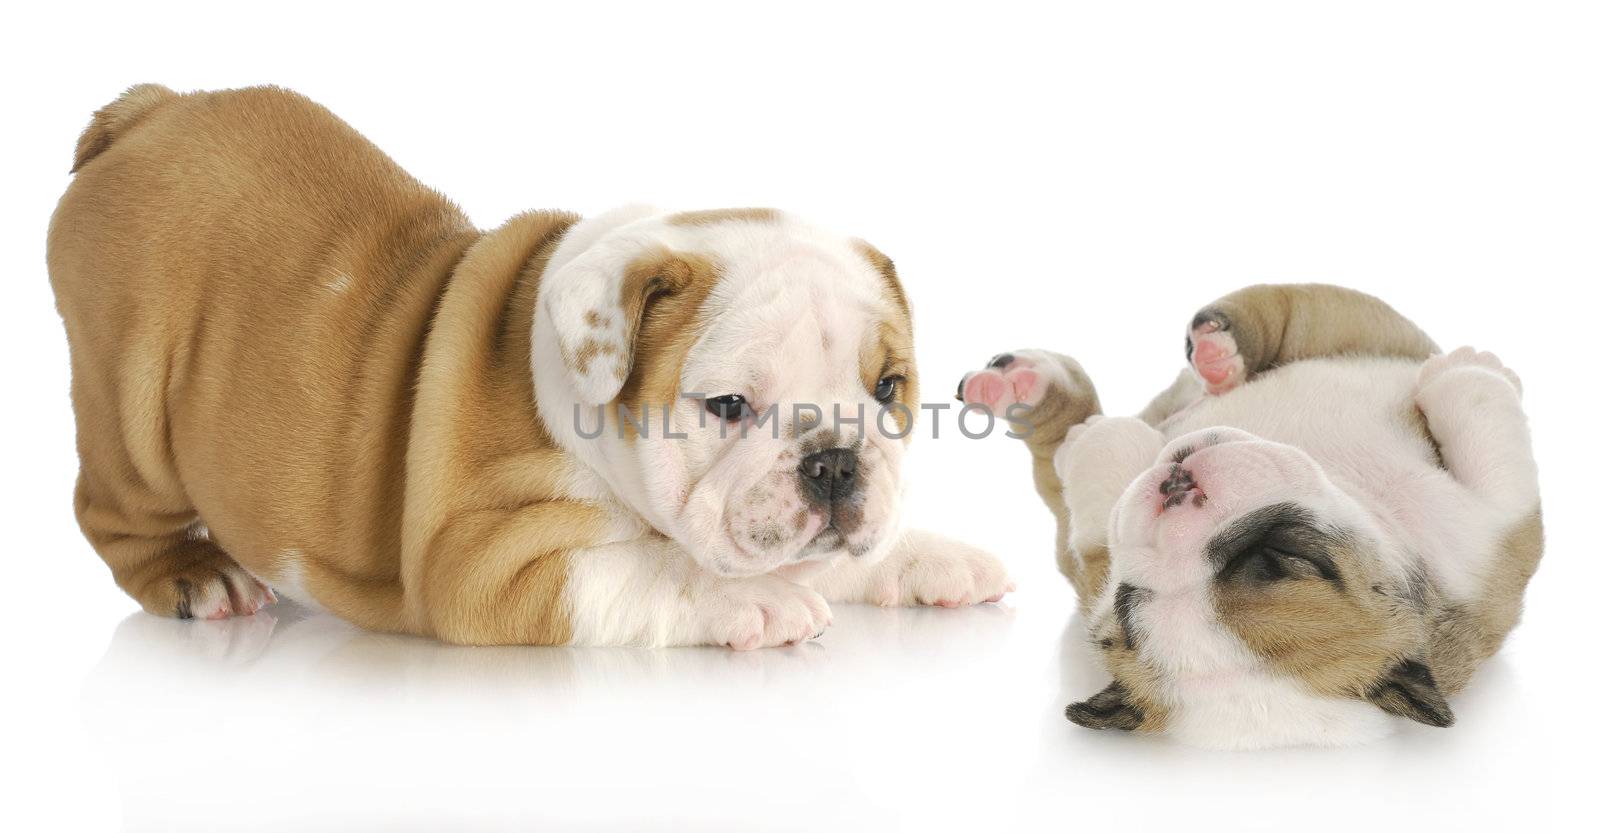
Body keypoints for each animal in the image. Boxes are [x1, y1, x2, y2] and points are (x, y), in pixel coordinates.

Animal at [50, 84, 1011, 645]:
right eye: (730, 405)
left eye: (886, 389)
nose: (836, 462)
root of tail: (146, 112)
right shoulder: (481, 564)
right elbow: (645, 568)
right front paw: (750, 602)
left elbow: (828, 555)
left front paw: (931, 558)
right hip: (133, 410)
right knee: (111, 509)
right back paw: (196, 574)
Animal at [953, 284, 1542, 748]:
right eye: (1129, 599)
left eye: (1276, 554)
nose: (1175, 489)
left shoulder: (1488, 548)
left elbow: (1492, 457)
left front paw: (1471, 375)